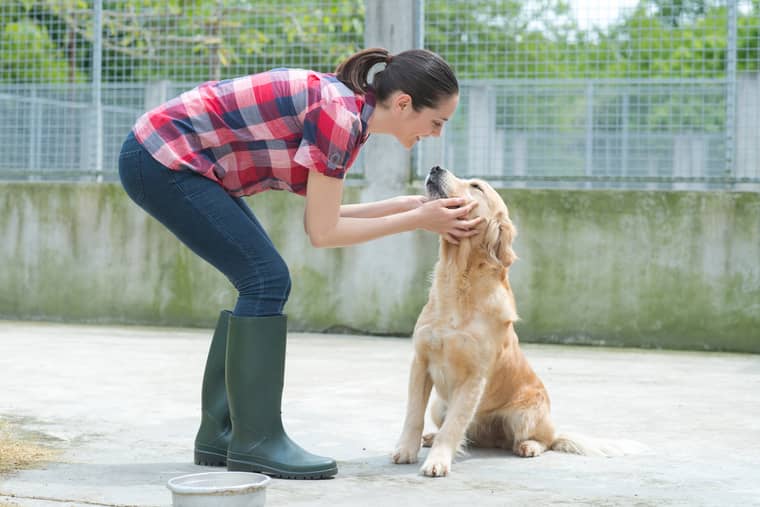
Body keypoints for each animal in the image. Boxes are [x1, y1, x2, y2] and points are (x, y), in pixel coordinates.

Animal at [394, 168, 644, 480]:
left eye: (476, 187)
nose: (436, 168)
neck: (458, 281)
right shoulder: (421, 361)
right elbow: (413, 414)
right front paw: (406, 449)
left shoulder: (473, 376)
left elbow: (453, 427)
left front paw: (438, 462)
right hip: (440, 404)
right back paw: (431, 437)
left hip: (525, 414)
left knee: (543, 440)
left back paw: (529, 446)